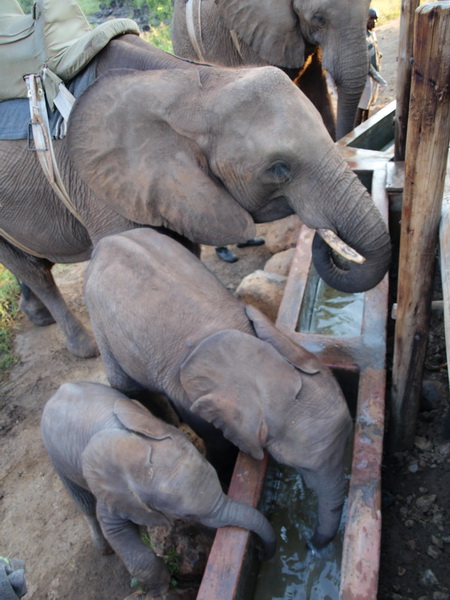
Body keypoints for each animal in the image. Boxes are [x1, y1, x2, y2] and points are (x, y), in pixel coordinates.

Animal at [0, 35, 388, 358]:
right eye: (279, 169)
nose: (325, 237)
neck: (191, 84)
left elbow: (183, 252)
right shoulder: (98, 184)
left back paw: (37, 316)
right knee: (32, 270)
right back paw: (84, 348)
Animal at [40, 382, 276, 596]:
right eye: (186, 515)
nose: (259, 553)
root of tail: (58, 391)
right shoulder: (113, 490)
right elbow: (115, 530)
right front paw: (160, 590)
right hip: (57, 457)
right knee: (84, 502)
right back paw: (103, 548)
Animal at [82, 227, 354, 552]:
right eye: (301, 468)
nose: (311, 544)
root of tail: (106, 243)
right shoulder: (191, 396)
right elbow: (218, 443)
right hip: (101, 321)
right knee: (129, 385)